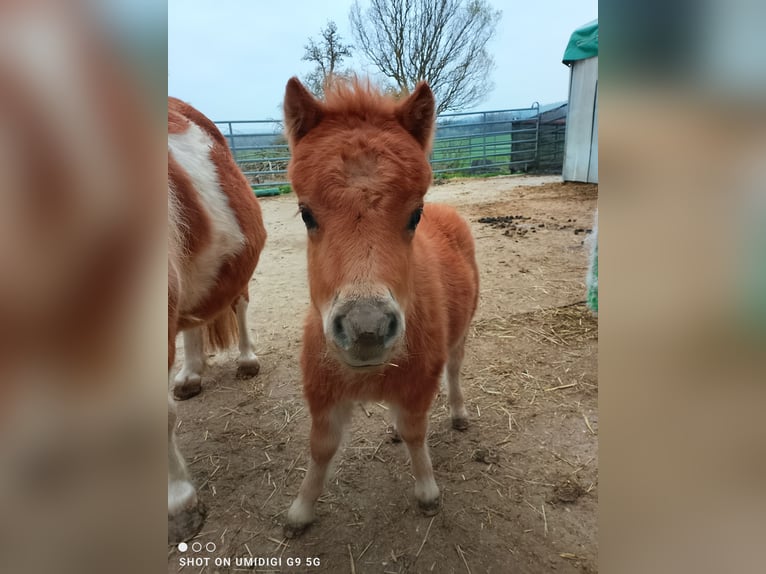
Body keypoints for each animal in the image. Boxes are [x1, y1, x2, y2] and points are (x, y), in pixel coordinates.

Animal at [281, 77, 479, 537]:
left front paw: (427, 492)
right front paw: (301, 510)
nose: (366, 329)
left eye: (415, 214)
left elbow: (415, 431)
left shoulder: (419, 382)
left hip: (461, 333)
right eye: (306, 214)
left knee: (456, 370)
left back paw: (458, 413)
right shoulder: (323, 391)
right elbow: (321, 448)